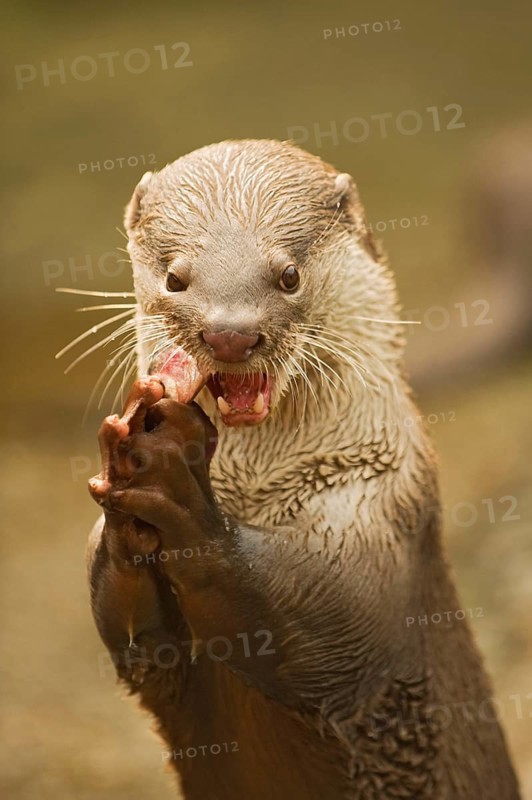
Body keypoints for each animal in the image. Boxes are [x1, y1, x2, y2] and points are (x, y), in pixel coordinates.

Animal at [87, 139, 520, 799]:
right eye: (174, 277)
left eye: (288, 274)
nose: (230, 333)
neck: (257, 493)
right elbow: (132, 630)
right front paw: (126, 499)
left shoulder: (372, 515)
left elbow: (300, 625)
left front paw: (173, 482)